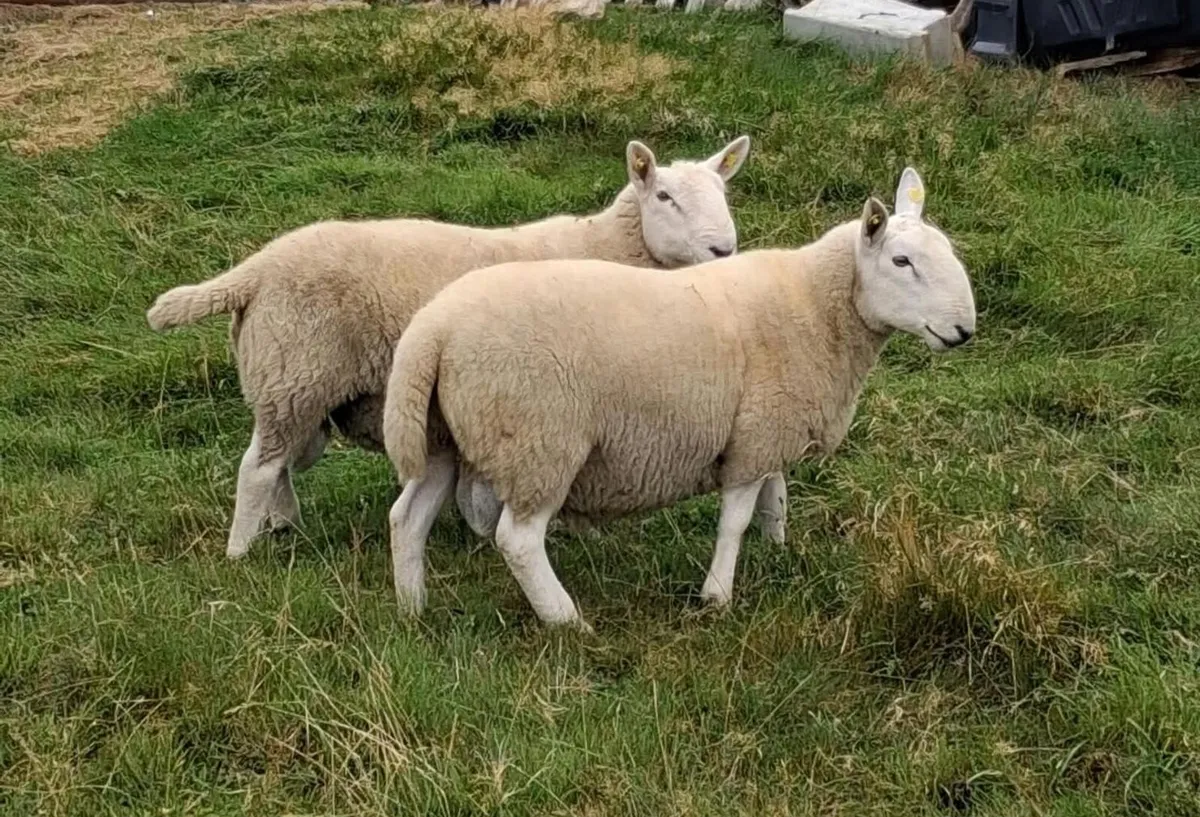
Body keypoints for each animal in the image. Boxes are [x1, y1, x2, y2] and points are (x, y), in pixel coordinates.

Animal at [145, 136, 752, 560]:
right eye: (665, 196)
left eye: (723, 194)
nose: (724, 250)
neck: (610, 245)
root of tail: (256, 270)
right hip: (296, 370)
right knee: (257, 469)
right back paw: (240, 552)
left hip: (293, 382)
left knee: (280, 463)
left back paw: (285, 526)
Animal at [382, 167, 976, 626]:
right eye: (901, 262)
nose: (964, 329)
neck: (816, 305)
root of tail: (433, 328)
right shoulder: (756, 437)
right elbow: (736, 519)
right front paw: (718, 596)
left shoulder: (769, 426)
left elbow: (776, 499)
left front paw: (780, 554)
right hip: (539, 440)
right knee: (519, 540)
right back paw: (566, 620)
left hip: (443, 436)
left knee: (407, 517)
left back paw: (413, 607)